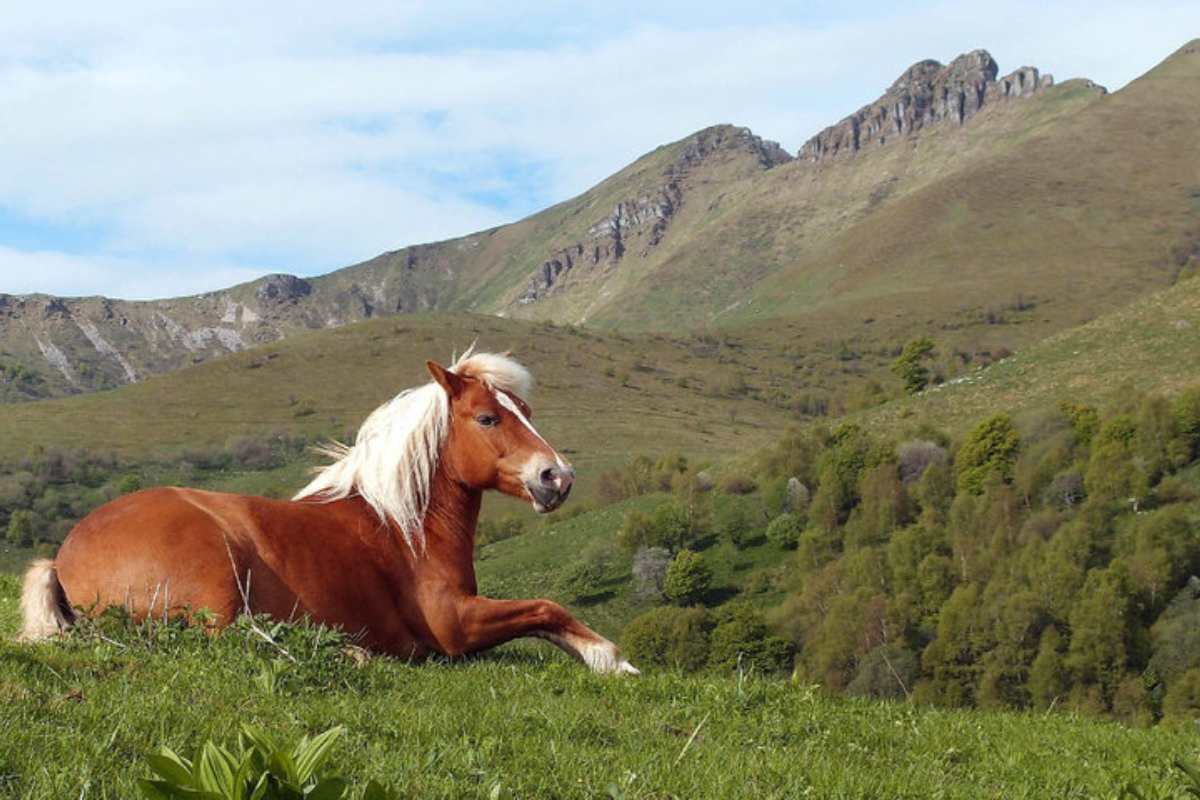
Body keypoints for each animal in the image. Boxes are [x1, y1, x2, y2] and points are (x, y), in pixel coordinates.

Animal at [16, 350, 638, 676]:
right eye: (488, 417)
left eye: (525, 410)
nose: (557, 476)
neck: (404, 529)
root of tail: (62, 557)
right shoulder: (455, 626)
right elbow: (547, 607)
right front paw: (611, 658)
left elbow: (547, 616)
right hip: (217, 582)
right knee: (234, 641)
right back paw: (351, 651)